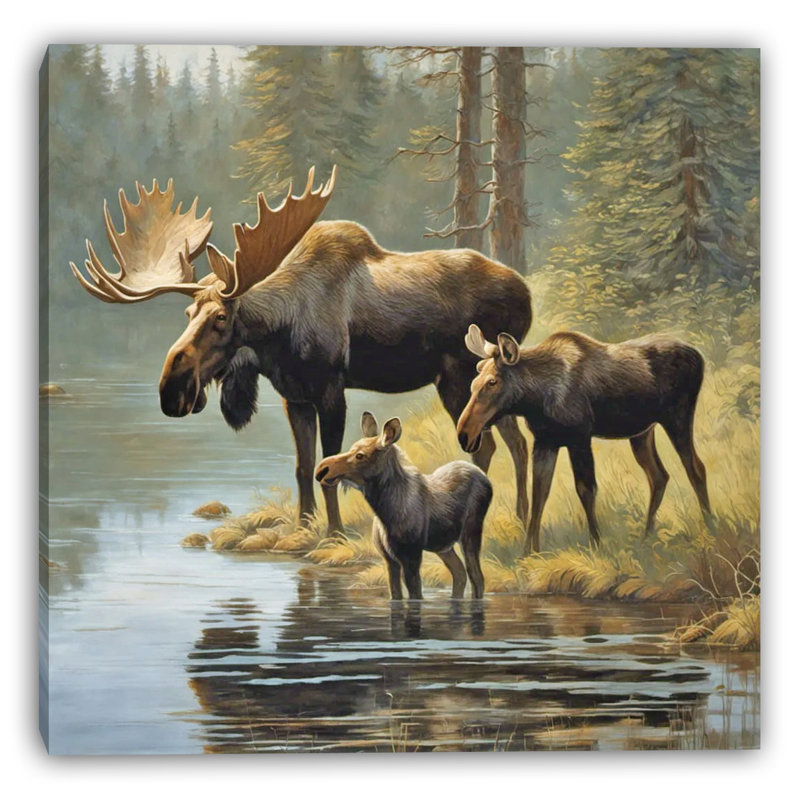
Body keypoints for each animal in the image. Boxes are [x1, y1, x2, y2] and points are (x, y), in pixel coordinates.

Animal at [69, 167, 532, 537]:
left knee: (484, 446)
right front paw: (305, 526)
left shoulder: (331, 390)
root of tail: (526, 293)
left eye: (220, 318)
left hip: (461, 376)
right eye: (187, 313)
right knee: (516, 442)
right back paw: (521, 515)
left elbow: (329, 466)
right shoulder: (294, 396)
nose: (171, 390)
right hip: (482, 385)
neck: (278, 335)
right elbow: (303, 466)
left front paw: (334, 532)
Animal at [315, 412, 492, 600]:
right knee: (459, 573)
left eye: (360, 455)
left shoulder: (411, 555)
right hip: (443, 546)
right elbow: (395, 594)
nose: (322, 469)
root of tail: (484, 476)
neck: (384, 510)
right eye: (351, 449)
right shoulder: (389, 559)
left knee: (476, 576)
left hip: (470, 532)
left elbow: (416, 594)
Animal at [456, 325, 712, 553]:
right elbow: (539, 494)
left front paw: (596, 545)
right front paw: (529, 551)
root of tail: (700, 356)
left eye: (492, 381)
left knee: (696, 468)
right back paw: (647, 537)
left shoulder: (579, 438)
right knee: (659, 476)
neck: (536, 398)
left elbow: (586, 489)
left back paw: (711, 528)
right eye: (473, 382)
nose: (464, 434)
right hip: (642, 433)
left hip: (677, 417)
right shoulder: (545, 442)